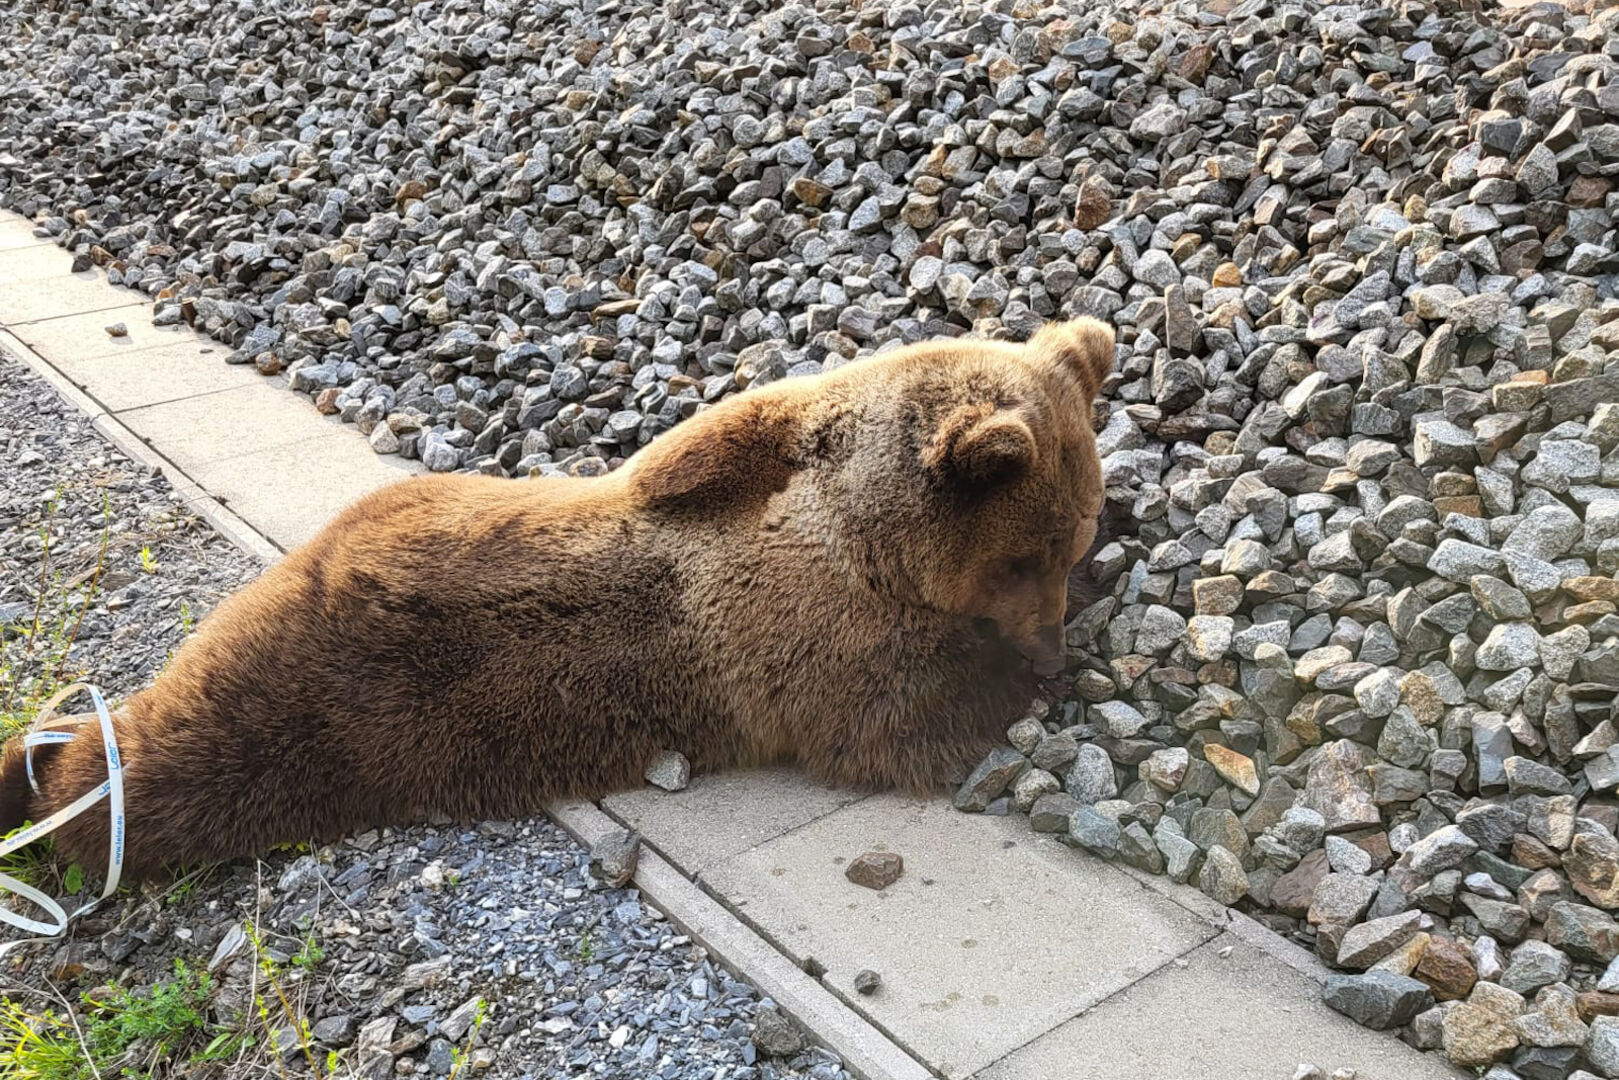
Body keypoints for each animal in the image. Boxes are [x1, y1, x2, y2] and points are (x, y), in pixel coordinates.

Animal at [0, 317, 1115, 878]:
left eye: (1070, 544)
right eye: (1023, 560)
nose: (1051, 647)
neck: (856, 529)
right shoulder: (803, 632)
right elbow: (898, 720)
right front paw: (1019, 682)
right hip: (320, 710)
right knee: (173, 772)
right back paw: (56, 779)